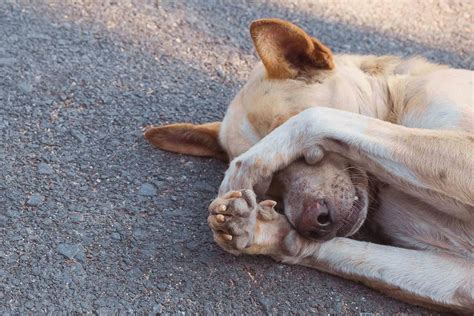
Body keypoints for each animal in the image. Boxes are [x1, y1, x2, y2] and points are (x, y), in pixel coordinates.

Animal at [144, 19, 474, 312]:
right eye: (271, 187)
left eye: (305, 154)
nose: (312, 222)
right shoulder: (461, 279)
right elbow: (325, 248)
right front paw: (257, 228)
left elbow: (314, 116)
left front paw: (246, 164)